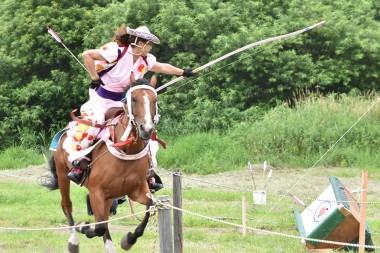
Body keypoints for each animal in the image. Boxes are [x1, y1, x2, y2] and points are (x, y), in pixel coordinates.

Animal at [40, 75, 160, 253]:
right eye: (134, 99)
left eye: (155, 100)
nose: (147, 129)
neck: (126, 150)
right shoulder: (96, 191)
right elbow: (99, 225)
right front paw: (83, 227)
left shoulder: (136, 190)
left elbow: (150, 206)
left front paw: (129, 239)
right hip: (62, 174)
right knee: (67, 205)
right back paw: (73, 240)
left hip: (109, 195)